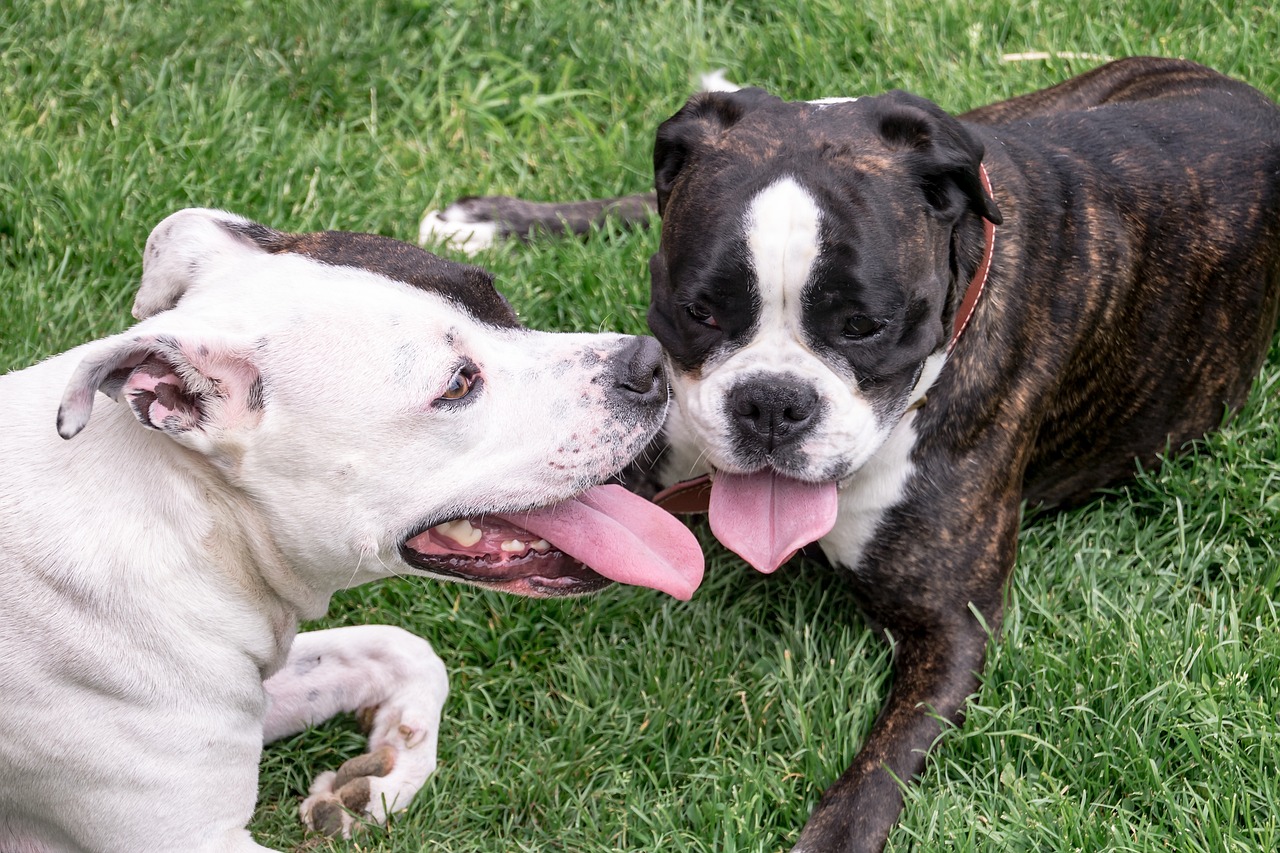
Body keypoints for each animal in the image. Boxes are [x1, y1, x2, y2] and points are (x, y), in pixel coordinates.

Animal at [0, 207, 701, 850]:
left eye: (496, 298)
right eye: (458, 384)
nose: (649, 362)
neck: (190, 518)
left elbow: (405, 649)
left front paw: (383, 774)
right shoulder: (193, 839)